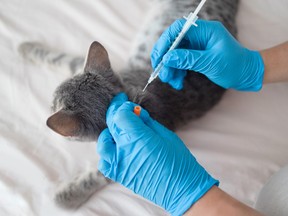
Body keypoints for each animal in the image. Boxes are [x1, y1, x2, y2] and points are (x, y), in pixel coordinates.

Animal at [18, 0, 238, 209]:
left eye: (52, 105)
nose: (49, 106)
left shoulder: (123, 159)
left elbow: (98, 176)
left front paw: (66, 197)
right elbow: (59, 58)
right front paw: (27, 48)